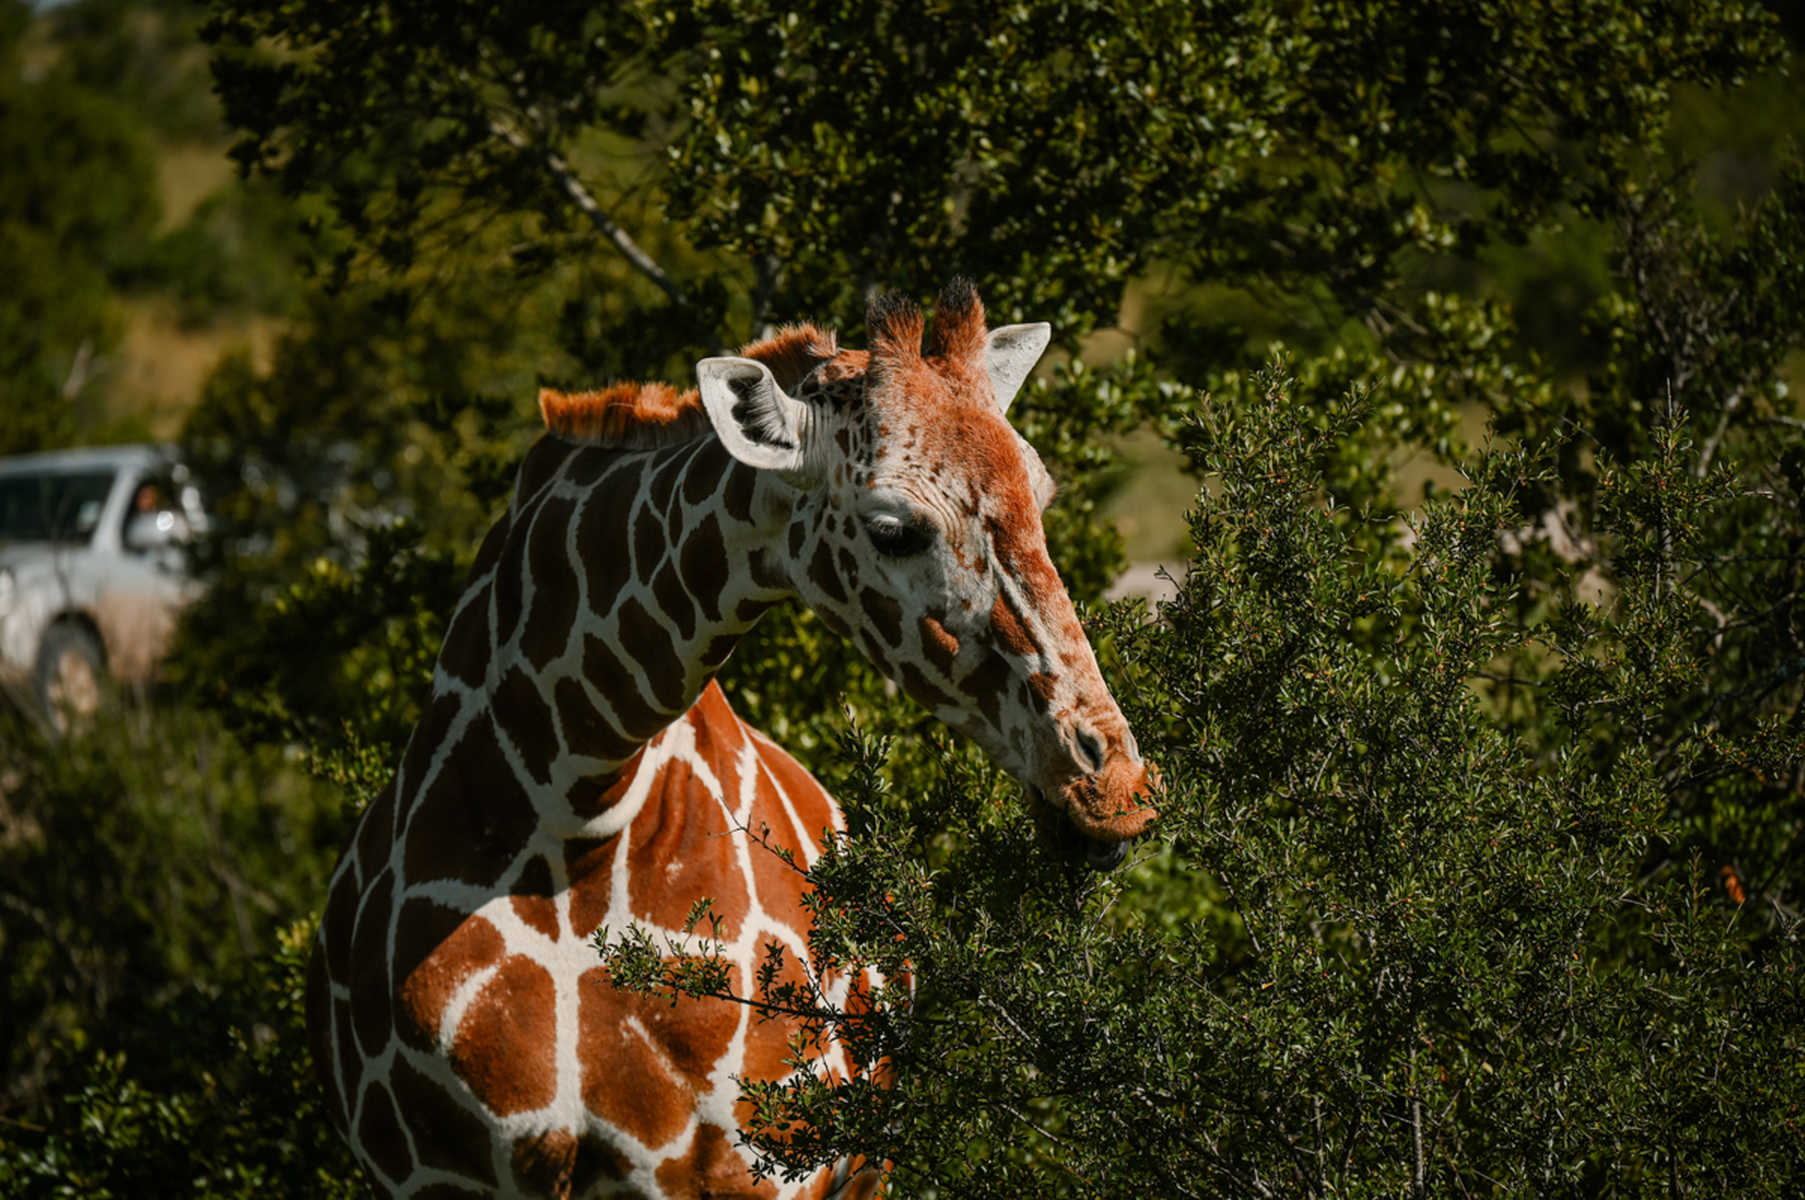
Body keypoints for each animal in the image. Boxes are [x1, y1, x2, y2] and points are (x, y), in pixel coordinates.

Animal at [307, 280, 1159, 1199]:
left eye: (1041, 494)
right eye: (892, 529)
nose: (1113, 790)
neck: (569, 808)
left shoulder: (752, 1169)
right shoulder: (438, 1176)